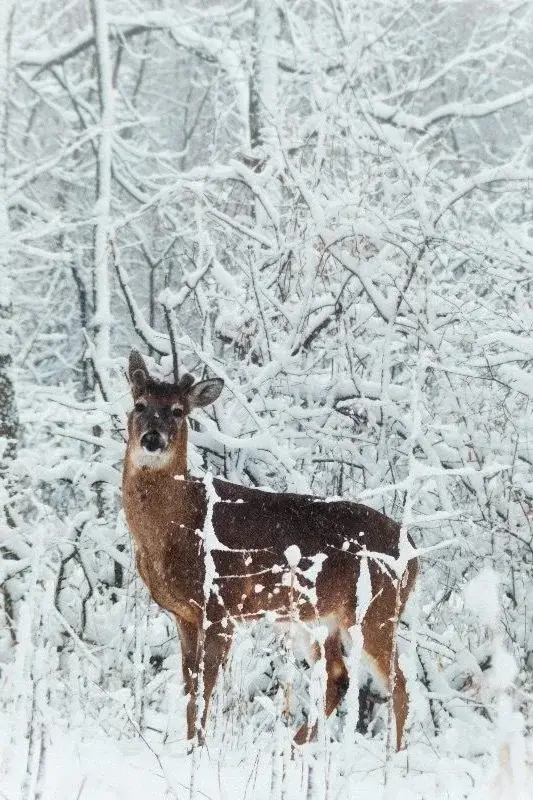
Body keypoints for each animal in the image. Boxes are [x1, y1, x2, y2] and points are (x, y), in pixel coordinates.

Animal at [122, 350, 419, 749]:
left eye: (178, 411)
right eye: (139, 404)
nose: (153, 438)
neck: (179, 525)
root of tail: (415, 555)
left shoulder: (221, 606)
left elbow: (205, 687)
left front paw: (198, 749)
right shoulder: (183, 614)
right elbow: (189, 687)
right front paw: (187, 745)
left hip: (376, 612)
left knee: (399, 683)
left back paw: (395, 754)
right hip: (317, 619)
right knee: (338, 678)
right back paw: (296, 746)